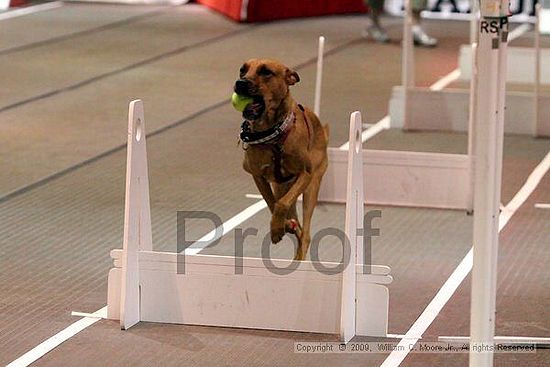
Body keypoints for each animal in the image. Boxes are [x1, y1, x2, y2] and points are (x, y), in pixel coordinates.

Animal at [235, 58, 330, 262]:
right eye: (242, 70)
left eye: (266, 72)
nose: (240, 83)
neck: (273, 135)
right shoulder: (258, 176)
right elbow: (272, 204)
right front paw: (281, 227)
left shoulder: (305, 175)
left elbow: (281, 204)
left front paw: (277, 229)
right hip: (282, 186)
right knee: (299, 228)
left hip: (312, 186)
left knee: (306, 234)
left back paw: (299, 258)